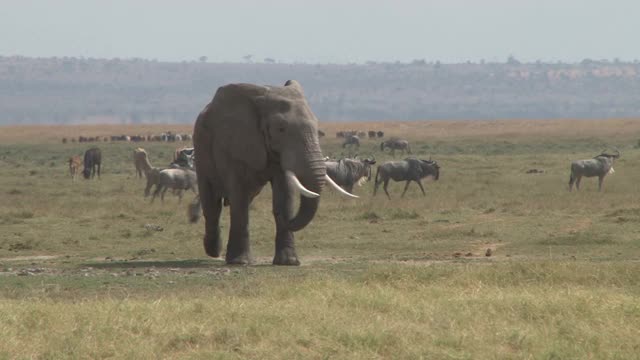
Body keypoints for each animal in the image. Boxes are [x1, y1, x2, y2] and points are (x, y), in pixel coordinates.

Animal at [192, 80, 358, 266]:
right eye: (281, 129)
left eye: (317, 128)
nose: (286, 219)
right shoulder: (231, 143)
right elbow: (238, 197)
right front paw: (240, 262)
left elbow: (284, 194)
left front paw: (289, 261)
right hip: (201, 153)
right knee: (212, 204)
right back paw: (213, 250)